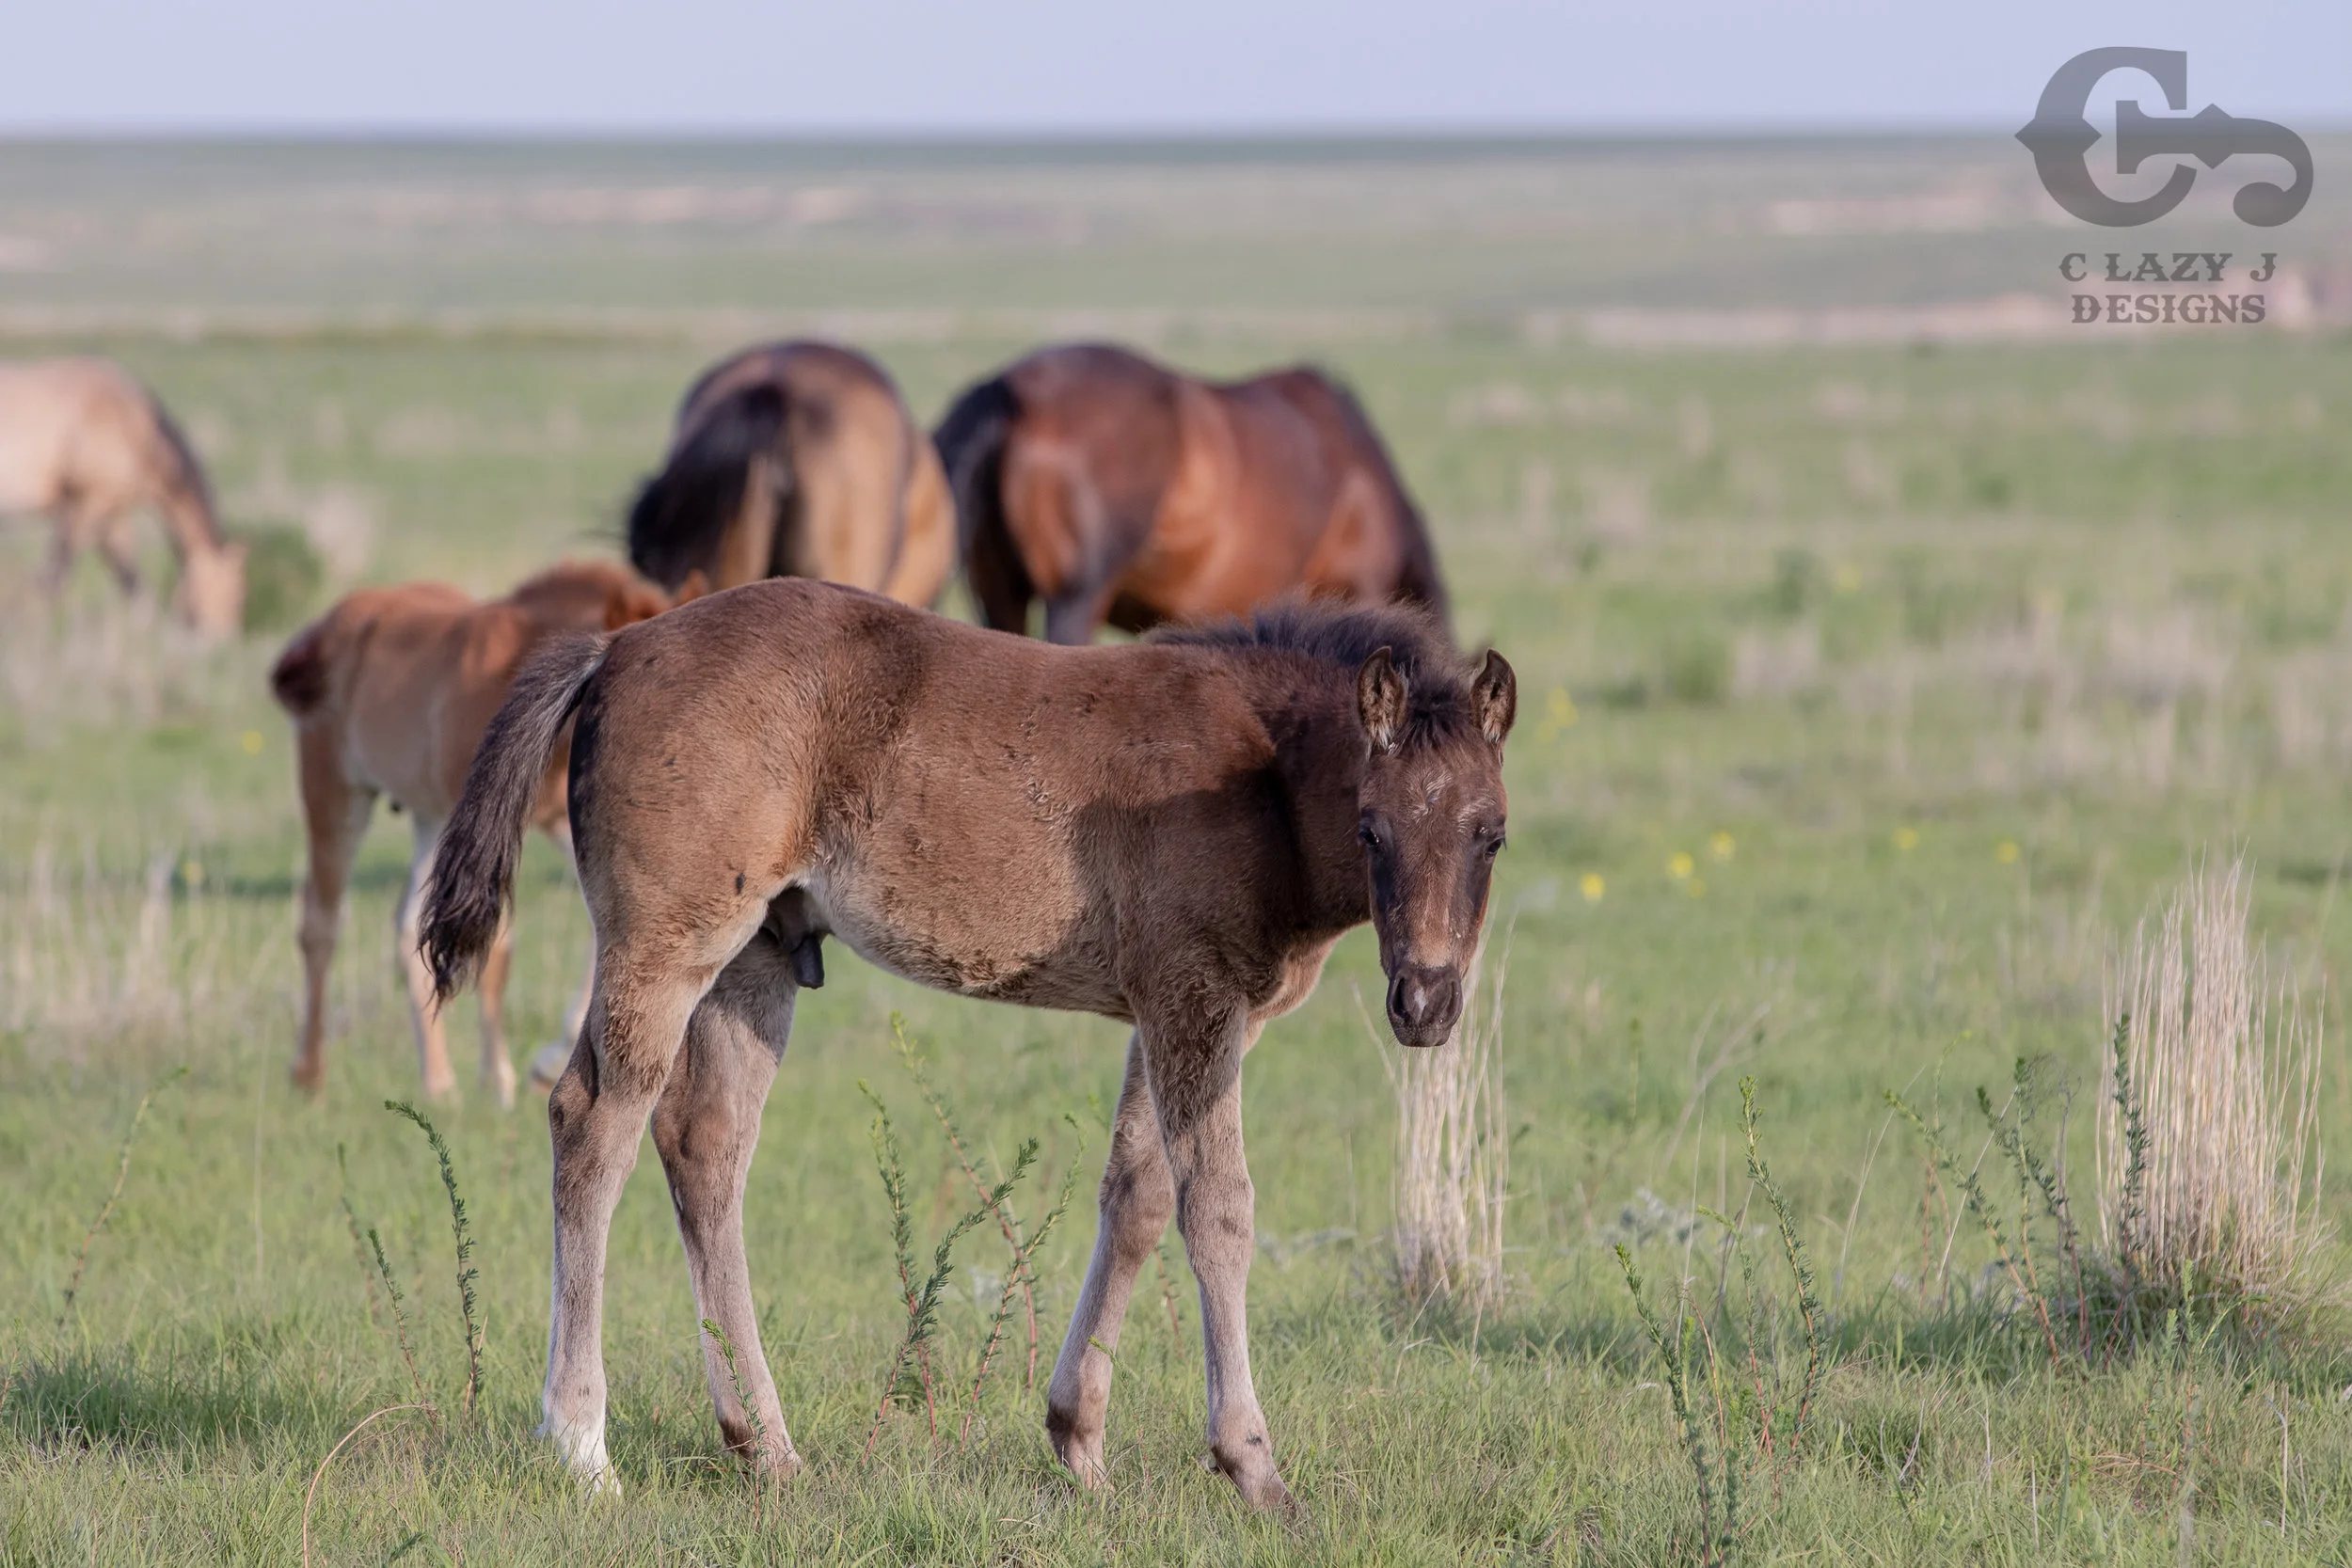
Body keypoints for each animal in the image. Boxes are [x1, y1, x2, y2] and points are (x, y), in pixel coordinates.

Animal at [0, 357, 245, 638]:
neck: (131, 425)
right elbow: (53, 576)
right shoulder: (84, 509)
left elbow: (131, 580)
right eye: (238, 595)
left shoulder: (112, 517)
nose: (223, 640)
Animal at [270, 559, 675, 1107]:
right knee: (321, 922)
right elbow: (497, 948)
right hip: (336, 790)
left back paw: (438, 1082)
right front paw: (499, 1078)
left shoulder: (563, 820)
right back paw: (309, 1072)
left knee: (408, 923)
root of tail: (326, 626)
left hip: (431, 816)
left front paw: (544, 1064)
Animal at [419, 579, 1514, 1510]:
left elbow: (1136, 1197)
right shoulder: (1192, 998)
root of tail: (617, 647)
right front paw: (1252, 1464)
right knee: (592, 1124)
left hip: (756, 962)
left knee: (704, 1147)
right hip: (667, 945)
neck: (1259, 775)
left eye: (1491, 833)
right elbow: (1218, 1210)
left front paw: (1079, 1440)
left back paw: (766, 1445)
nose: (1424, 1001)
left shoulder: (1168, 1010)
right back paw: (581, 1444)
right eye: (1369, 827)